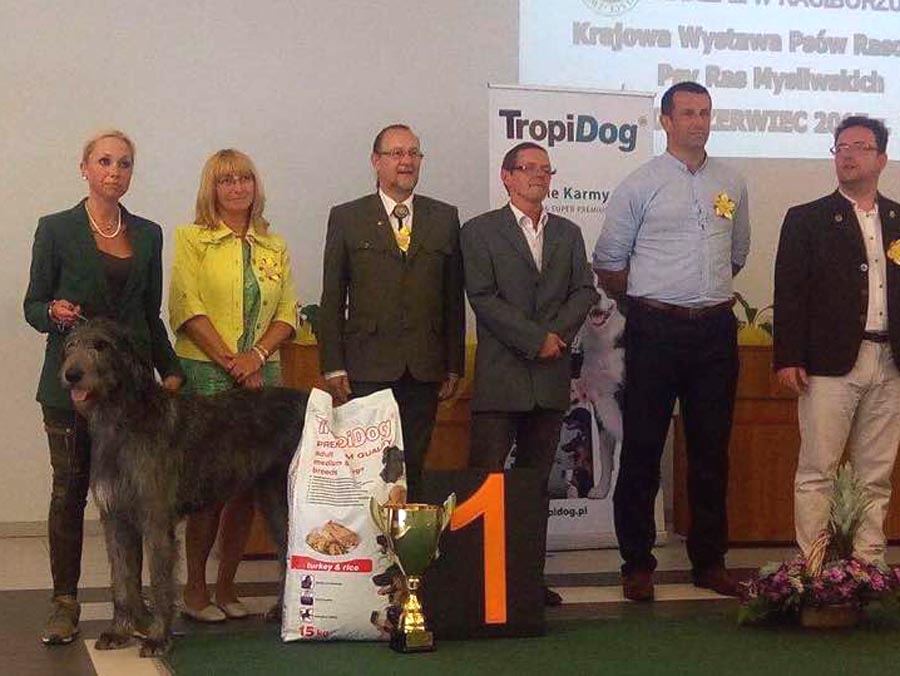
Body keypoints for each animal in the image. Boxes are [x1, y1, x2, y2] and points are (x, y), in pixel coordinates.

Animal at [59, 320, 308, 656]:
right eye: (71, 345)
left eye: (100, 345)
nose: (72, 374)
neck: (123, 417)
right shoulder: (115, 518)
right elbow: (121, 579)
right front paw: (119, 631)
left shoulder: (156, 520)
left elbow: (160, 582)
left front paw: (157, 637)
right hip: (274, 501)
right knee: (285, 551)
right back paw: (282, 610)